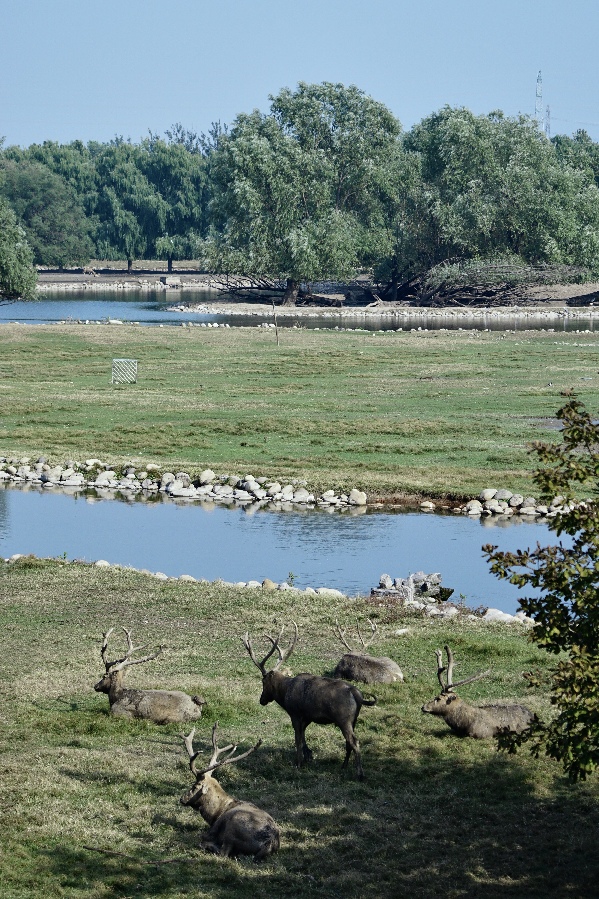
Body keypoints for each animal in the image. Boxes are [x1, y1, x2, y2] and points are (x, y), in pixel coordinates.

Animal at [180, 720, 282, 860]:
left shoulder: (213, 829)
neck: (215, 813)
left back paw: (208, 846)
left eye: (195, 786)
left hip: (233, 827)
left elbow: (204, 836)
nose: (182, 798)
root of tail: (269, 843)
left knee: (223, 852)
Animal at [243, 624, 376, 780]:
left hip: (343, 719)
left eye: (263, 682)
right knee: (349, 743)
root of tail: (357, 695)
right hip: (353, 720)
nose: (262, 700)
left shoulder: (295, 713)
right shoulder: (307, 717)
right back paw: (344, 766)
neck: (284, 694)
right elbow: (303, 736)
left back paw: (359, 774)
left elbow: (297, 738)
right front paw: (308, 756)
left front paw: (298, 763)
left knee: (354, 741)